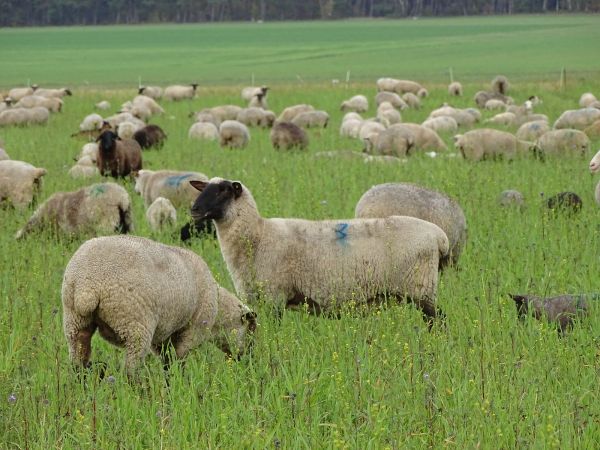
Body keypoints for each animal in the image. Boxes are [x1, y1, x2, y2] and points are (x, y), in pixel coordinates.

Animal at [61, 235, 257, 376]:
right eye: (250, 331)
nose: (247, 361)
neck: (218, 308)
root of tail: (89, 284)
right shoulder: (193, 331)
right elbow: (179, 361)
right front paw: (179, 384)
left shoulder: (162, 337)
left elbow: (167, 362)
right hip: (135, 324)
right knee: (130, 371)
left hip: (75, 321)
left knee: (78, 361)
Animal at [189, 178, 449, 321]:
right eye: (202, 188)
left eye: (223, 190)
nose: (194, 209)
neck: (258, 235)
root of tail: (439, 236)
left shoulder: (275, 296)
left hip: (421, 287)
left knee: (438, 319)